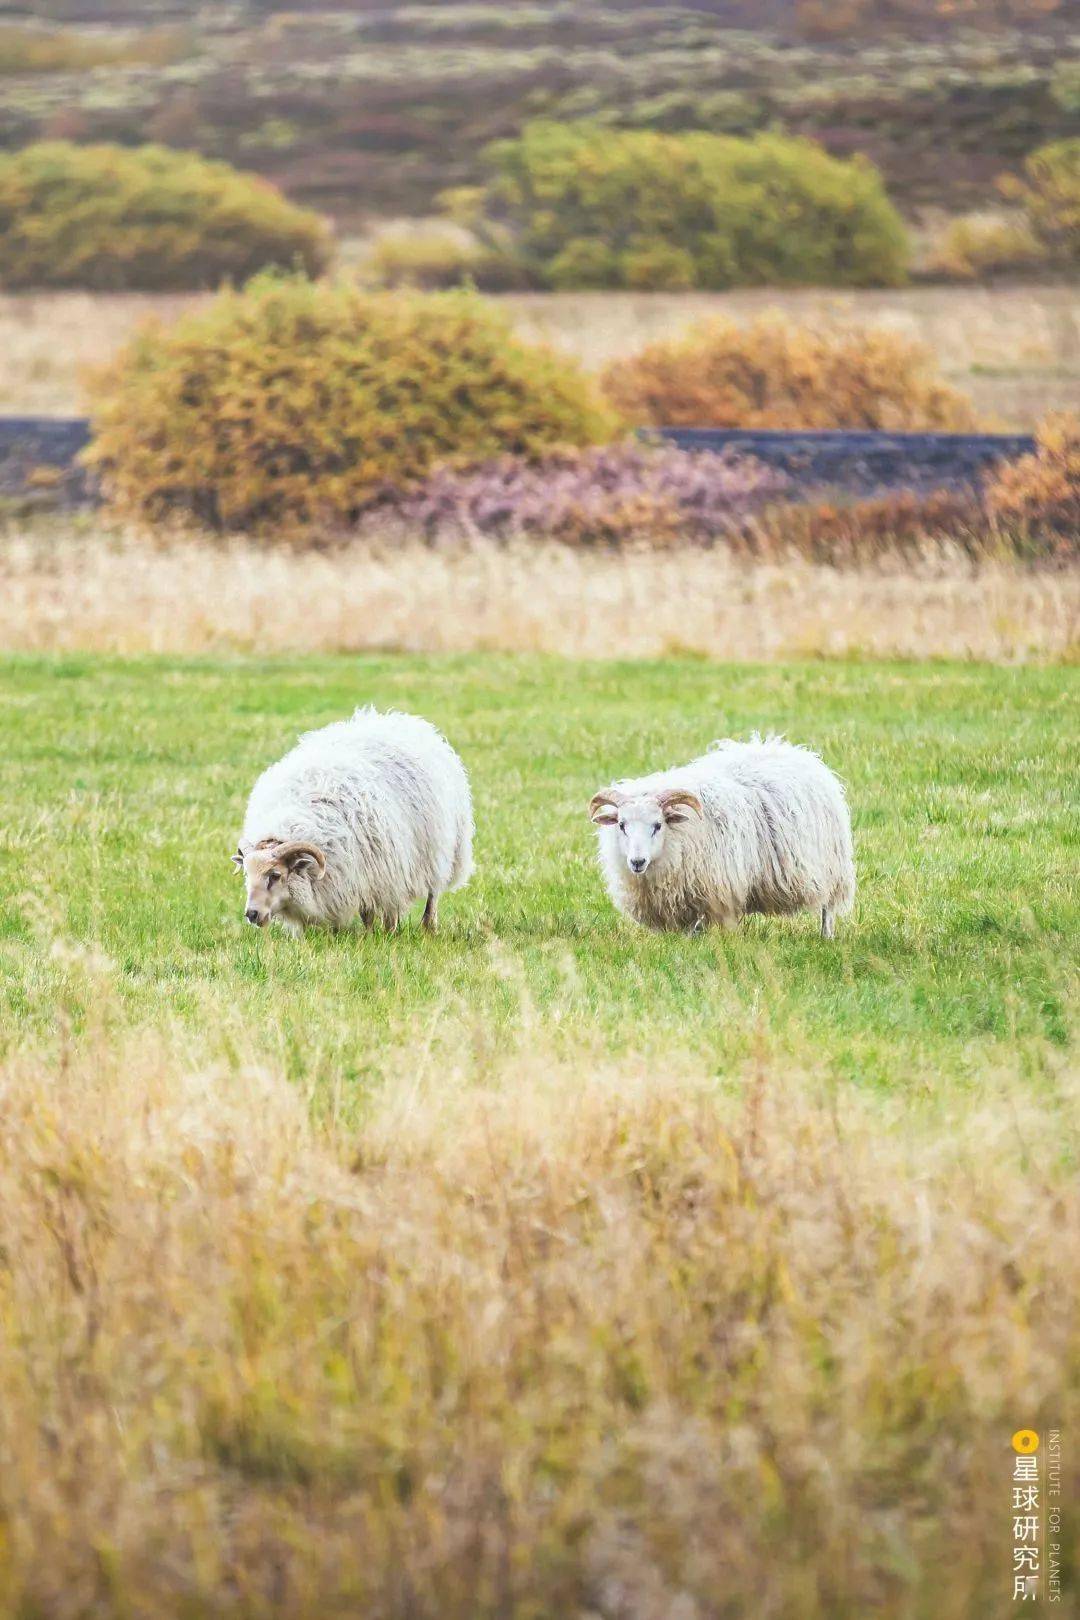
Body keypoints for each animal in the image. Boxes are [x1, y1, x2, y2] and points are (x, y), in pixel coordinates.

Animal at [236, 709, 472, 939]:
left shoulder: (370, 873)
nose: (251, 914)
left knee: (431, 893)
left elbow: (369, 913)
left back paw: (424, 927)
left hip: (435, 852)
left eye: (275, 876)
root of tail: (404, 720)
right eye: (247, 874)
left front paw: (371, 938)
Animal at [592, 735, 854, 939]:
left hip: (833, 866)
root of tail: (793, 751)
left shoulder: (710, 890)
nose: (637, 862)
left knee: (828, 907)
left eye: (658, 825)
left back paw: (826, 937)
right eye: (622, 825)